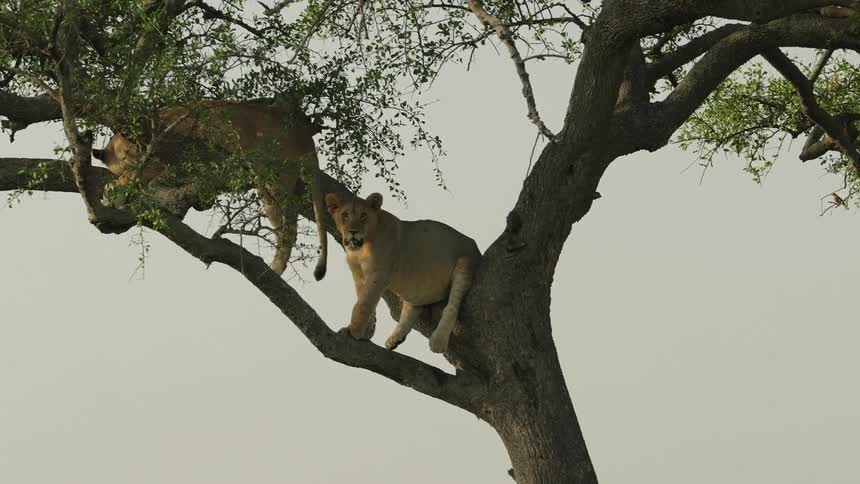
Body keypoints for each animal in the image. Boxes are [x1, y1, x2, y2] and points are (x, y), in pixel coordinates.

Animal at [92, 99, 329, 280]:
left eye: (130, 154)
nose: (136, 155)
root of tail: (302, 132)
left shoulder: (159, 161)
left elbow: (130, 177)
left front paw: (113, 192)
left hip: (271, 178)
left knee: (288, 227)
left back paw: (275, 269)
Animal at [325, 192, 481, 353]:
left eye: (363, 215)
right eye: (344, 215)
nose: (353, 231)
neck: (360, 250)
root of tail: (475, 245)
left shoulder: (378, 274)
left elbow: (364, 304)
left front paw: (353, 331)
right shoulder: (358, 276)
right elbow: (364, 302)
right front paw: (366, 333)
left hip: (465, 263)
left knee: (452, 306)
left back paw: (438, 341)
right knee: (411, 308)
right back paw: (395, 338)